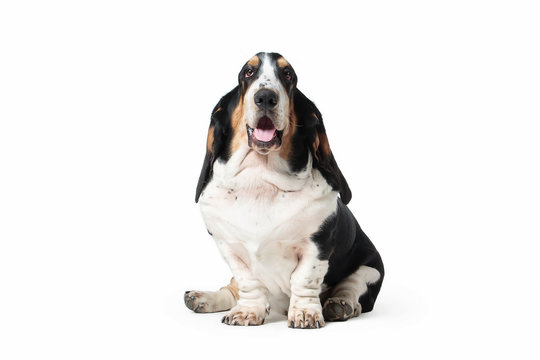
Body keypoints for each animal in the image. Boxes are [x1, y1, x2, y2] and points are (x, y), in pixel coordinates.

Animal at [186, 51, 384, 330]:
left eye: (288, 75)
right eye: (247, 72)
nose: (265, 97)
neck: (260, 179)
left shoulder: (316, 246)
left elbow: (304, 280)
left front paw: (306, 314)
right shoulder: (229, 247)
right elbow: (247, 282)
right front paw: (247, 312)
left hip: (371, 269)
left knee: (352, 287)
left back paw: (339, 305)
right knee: (231, 288)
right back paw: (201, 298)